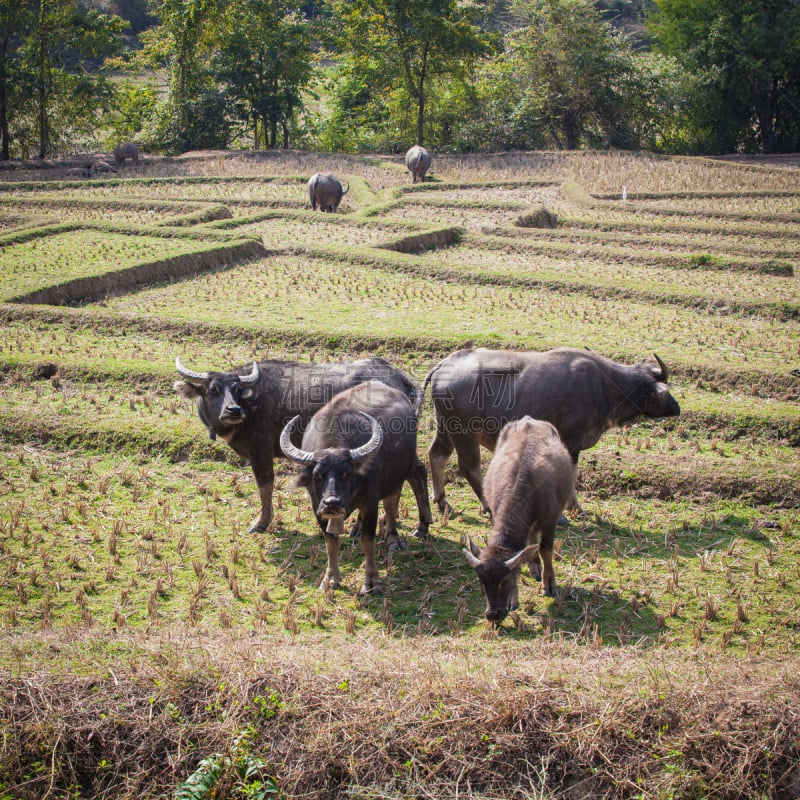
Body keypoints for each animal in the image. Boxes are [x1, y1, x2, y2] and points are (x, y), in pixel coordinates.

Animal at [175, 354, 422, 532]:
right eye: (214, 389)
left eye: (237, 390)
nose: (233, 410)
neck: (251, 405)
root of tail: (400, 376)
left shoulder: (260, 451)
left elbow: (265, 485)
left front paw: (261, 523)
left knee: (414, 472)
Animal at [280, 382, 432, 592]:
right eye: (318, 475)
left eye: (347, 473)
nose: (332, 503)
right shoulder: (317, 508)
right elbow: (330, 543)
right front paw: (331, 578)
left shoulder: (370, 503)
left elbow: (367, 542)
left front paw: (372, 581)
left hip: (399, 473)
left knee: (399, 495)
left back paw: (399, 536)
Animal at [422, 346, 680, 516]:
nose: (676, 408)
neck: (607, 385)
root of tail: (444, 366)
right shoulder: (572, 442)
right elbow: (571, 475)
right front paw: (574, 508)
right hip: (465, 432)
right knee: (470, 468)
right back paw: (486, 505)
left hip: (446, 427)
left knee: (437, 455)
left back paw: (442, 501)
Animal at [462, 416, 576, 620]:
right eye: (482, 583)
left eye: (504, 581)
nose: (493, 614)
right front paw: (513, 600)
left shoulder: (550, 520)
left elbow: (546, 550)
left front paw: (549, 584)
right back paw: (534, 566)